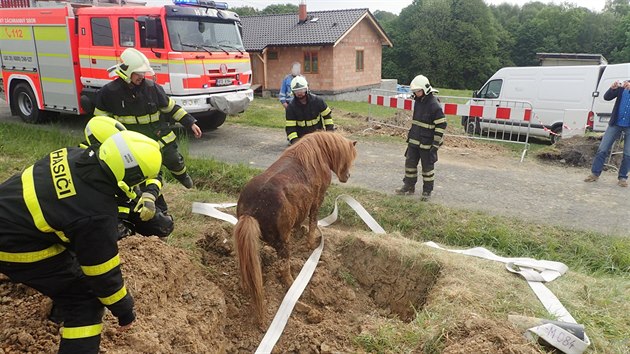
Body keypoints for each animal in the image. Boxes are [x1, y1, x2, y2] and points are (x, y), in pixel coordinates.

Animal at [233, 131, 360, 324]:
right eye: (347, 158)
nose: (347, 176)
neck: (318, 155)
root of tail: (251, 212)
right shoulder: (317, 200)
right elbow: (313, 221)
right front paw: (311, 244)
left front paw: (299, 232)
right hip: (283, 245)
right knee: (284, 271)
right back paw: (297, 296)